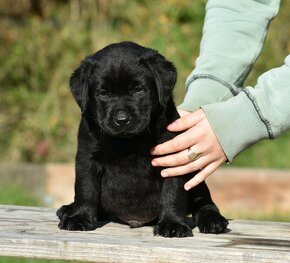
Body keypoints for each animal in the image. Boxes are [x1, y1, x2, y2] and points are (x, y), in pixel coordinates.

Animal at [57, 41, 229, 239]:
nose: (122, 119)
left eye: (138, 89)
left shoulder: (172, 159)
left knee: (204, 200)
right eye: (103, 93)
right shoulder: (87, 157)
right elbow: (85, 189)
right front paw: (79, 217)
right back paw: (68, 209)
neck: (129, 141)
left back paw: (213, 219)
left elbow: (172, 192)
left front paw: (172, 223)